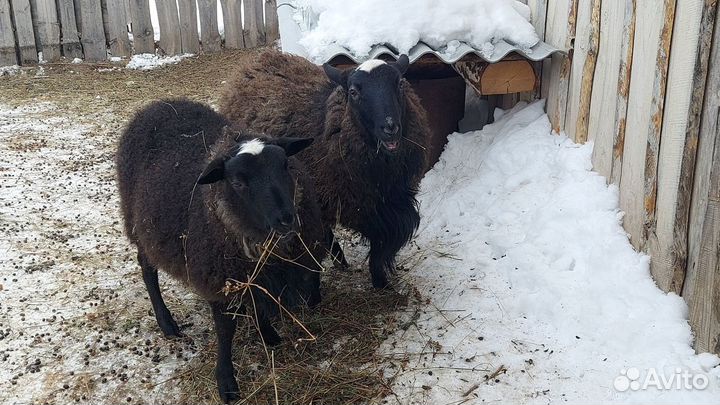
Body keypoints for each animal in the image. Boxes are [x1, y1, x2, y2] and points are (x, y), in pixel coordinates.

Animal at [114, 98, 324, 400]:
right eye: (237, 182)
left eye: (285, 165)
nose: (286, 219)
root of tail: (157, 104)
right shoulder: (220, 276)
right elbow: (225, 330)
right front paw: (226, 381)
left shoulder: (252, 272)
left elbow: (258, 301)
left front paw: (268, 334)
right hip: (140, 226)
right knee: (147, 270)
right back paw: (166, 322)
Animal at [219, 49, 430, 288]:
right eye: (353, 92)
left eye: (399, 84)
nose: (390, 127)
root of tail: (254, 60)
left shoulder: (389, 205)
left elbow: (379, 249)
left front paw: (381, 282)